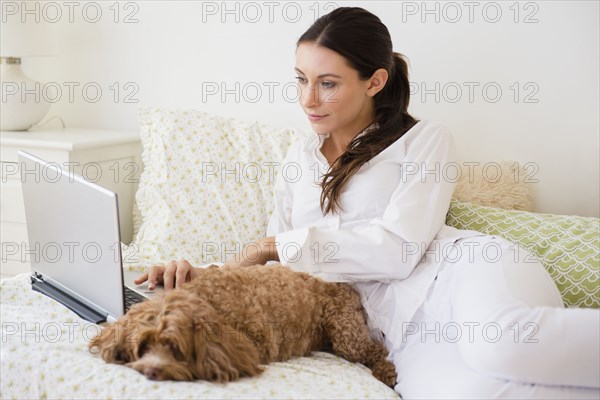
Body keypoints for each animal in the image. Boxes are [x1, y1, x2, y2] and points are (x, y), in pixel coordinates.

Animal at [88, 264, 398, 386]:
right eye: (143, 346)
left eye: (175, 348)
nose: (150, 372)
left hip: (346, 334)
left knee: (377, 350)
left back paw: (386, 371)